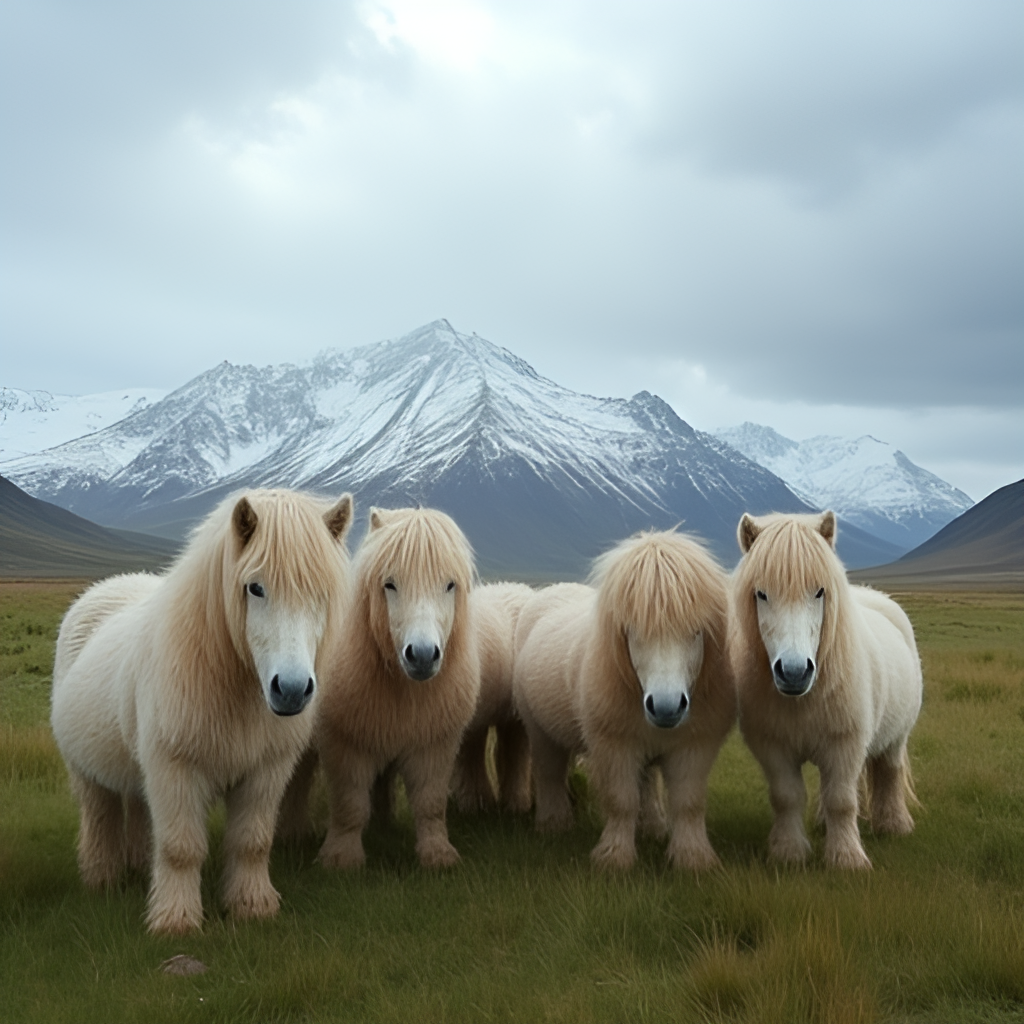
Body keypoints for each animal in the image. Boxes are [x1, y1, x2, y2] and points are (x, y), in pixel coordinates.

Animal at [50, 489, 353, 933]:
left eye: (322, 591)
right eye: (255, 587)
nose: (292, 690)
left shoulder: (265, 771)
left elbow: (251, 842)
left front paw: (252, 905)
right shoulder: (175, 769)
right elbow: (180, 847)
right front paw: (175, 920)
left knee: (138, 810)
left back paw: (139, 868)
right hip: (87, 772)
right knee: (100, 817)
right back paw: (101, 879)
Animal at [305, 506, 479, 870]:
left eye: (450, 585)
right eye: (390, 584)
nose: (423, 655)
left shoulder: (434, 745)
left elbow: (430, 803)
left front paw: (437, 855)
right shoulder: (344, 744)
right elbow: (349, 803)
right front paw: (341, 859)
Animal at [513, 530, 734, 870]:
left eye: (697, 631)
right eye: (632, 631)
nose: (667, 706)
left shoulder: (695, 746)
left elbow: (688, 802)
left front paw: (692, 858)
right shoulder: (614, 745)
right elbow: (622, 801)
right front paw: (614, 858)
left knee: (648, 780)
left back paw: (653, 827)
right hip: (540, 731)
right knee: (549, 773)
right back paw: (554, 824)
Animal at [730, 511, 922, 869]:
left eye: (820, 591)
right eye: (761, 593)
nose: (794, 672)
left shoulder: (844, 743)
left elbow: (841, 800)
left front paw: (847, 859)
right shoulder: (773, 746)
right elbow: (787, 797)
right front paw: (788, 853)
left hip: (895, 738)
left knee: (889, 773)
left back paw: (894, 825)